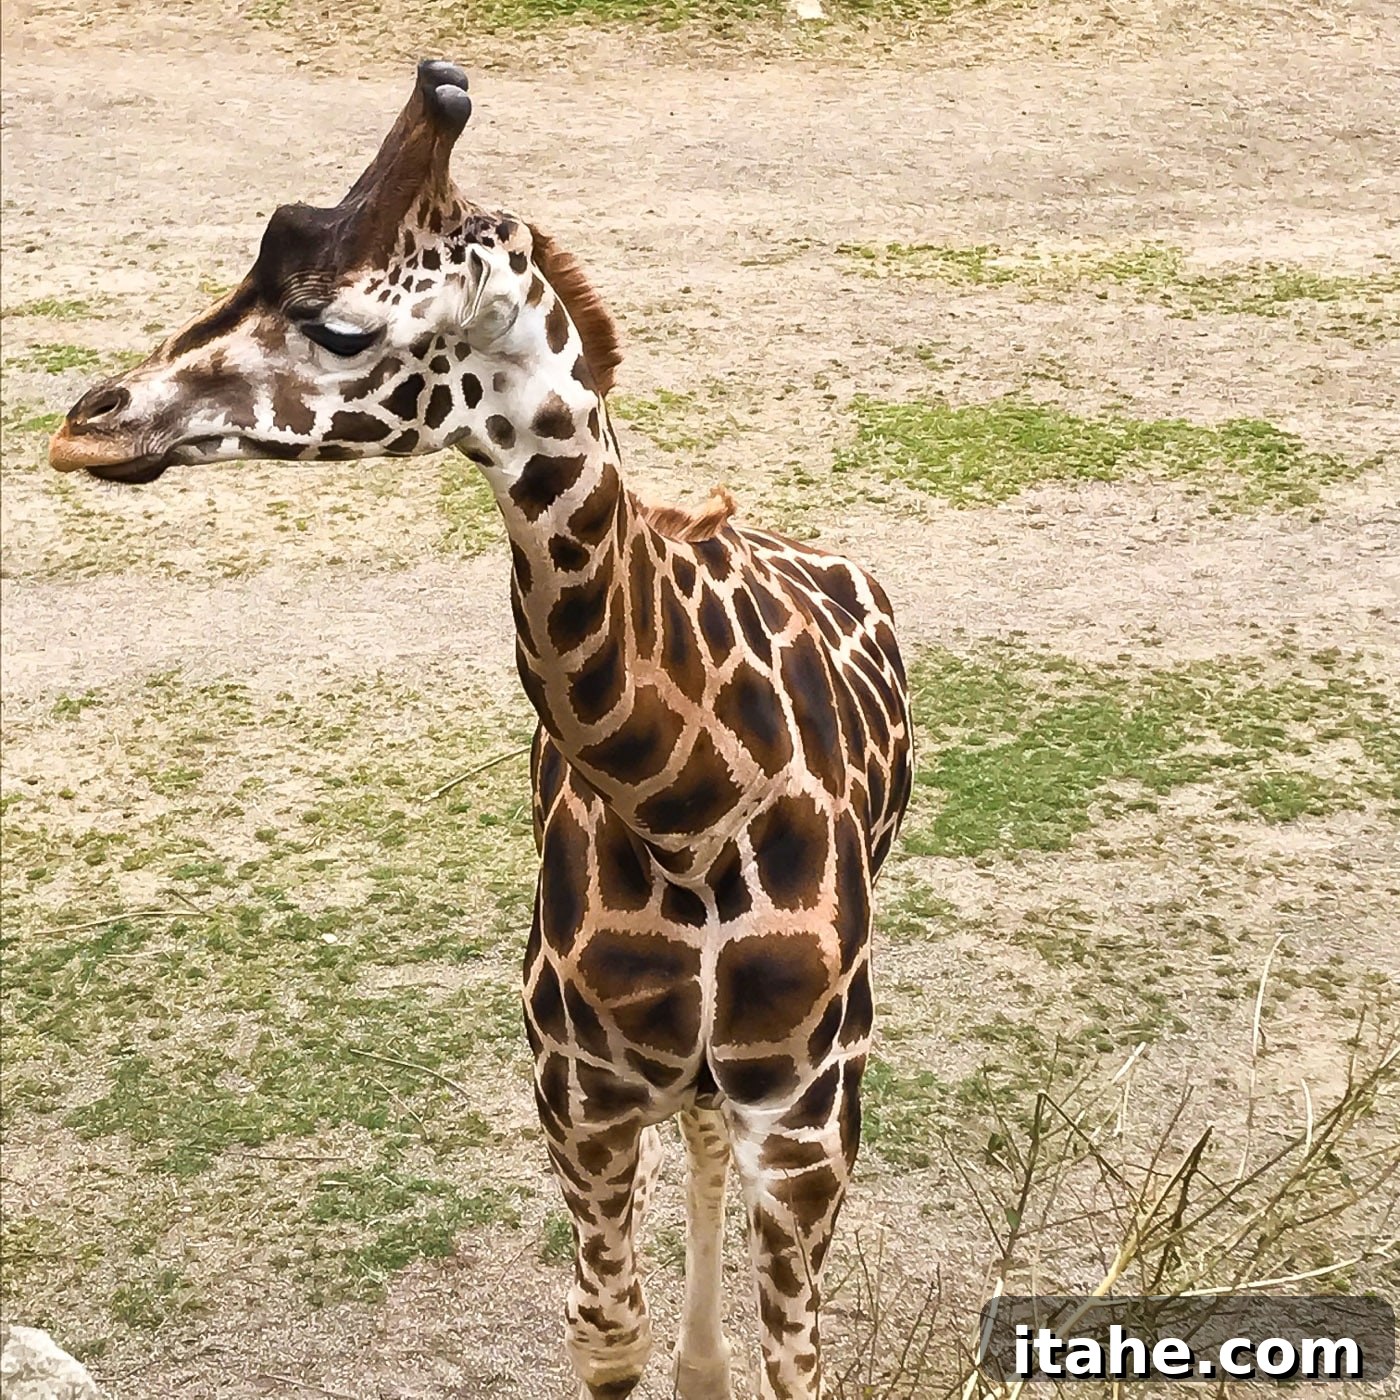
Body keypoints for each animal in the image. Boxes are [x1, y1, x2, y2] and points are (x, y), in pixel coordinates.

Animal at [49, 62, 913, 1399]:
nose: (87, 422)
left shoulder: (811, 1119)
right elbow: (604, 1331)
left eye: (341, 328)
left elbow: (793, 1360)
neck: (686, 812)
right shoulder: (579, 1093)